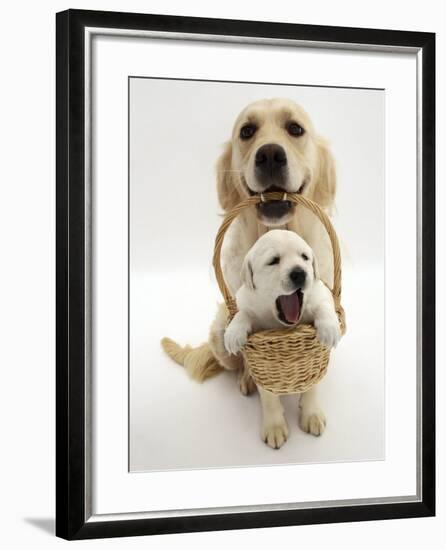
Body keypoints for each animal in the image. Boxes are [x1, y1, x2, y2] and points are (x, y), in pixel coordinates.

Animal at [162, 98, 336, 448]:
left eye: (295, 128)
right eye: (247, 131)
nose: (269, 154)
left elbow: (313, 379)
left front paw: (310, 413)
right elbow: (265, 384)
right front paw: (274, 424)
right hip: (219, 335)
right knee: (240, 361)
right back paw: (247, 380)